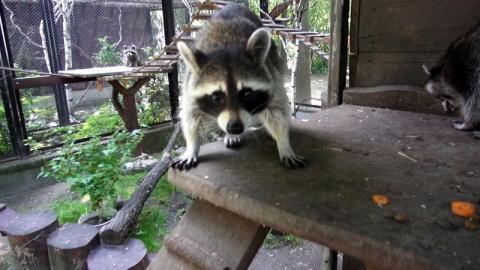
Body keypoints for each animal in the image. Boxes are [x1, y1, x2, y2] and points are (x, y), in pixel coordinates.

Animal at [172, 3, 308, 170]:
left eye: (247, 94)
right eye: (216, 97)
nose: (235, 128)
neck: (226, 46)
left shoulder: (272, 77)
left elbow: (277, 111)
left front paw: (283, 143)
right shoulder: (190, 83)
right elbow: (191, 116)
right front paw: (192, 146)